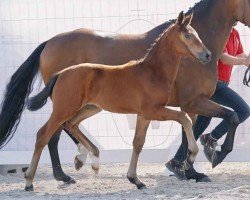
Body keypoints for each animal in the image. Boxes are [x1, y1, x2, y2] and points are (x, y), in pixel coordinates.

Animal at [25, 12, 211, 191]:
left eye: (196, 34)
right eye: (187, 35)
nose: (207, 55)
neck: (152, 71)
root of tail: (61, 74)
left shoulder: (144, 115)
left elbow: (138, 143)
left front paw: (135, 180)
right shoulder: (154, 110)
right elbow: (184, 118)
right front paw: (191, 155)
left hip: (90, 108)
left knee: (71, 124)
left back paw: (92, 160)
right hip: (63, 109)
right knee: (44, 135)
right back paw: (29, 182)